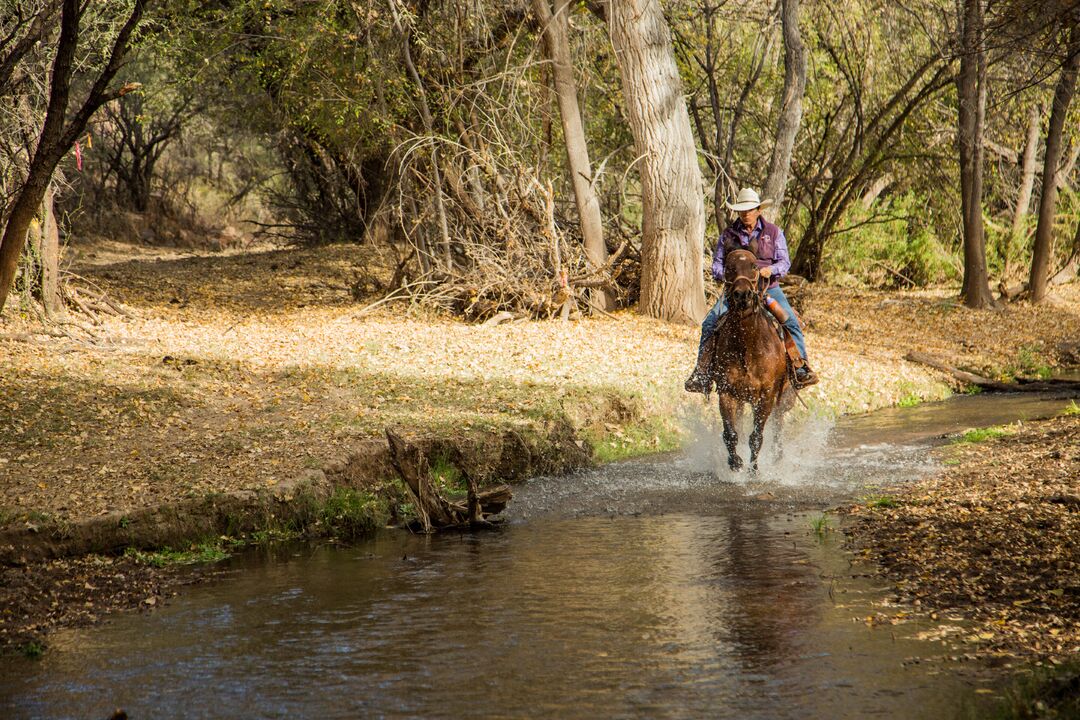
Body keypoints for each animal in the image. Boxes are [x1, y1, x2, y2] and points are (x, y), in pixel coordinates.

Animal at [708, 249, 794, 472]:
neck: (748, 347)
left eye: (755, 266)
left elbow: (756, 437)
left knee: (778, 426)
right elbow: (730, 433)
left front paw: (753, 470)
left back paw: (777, 458)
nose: (742, 294)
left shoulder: (766, 396)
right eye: (729, 267)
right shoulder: (727, 392)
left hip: (783, 397)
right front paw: (735, 463)